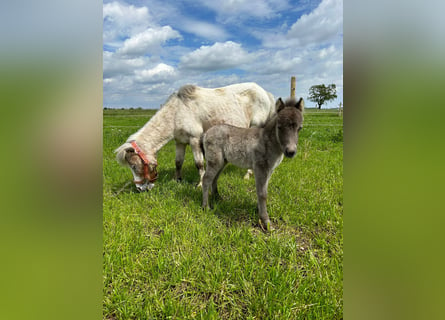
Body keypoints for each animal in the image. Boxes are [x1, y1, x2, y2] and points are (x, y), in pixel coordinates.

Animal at [114, 84, 274, 191]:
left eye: (134, 166)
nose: (140, 189)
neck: (177, 112)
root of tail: (266, 93)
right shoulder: (179, 142)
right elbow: (178, 162)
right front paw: (177, 180)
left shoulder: (195, 140)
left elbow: (199, 164)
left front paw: (200, 184)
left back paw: (248, 175)